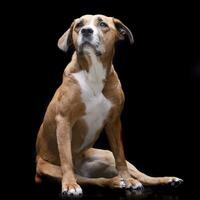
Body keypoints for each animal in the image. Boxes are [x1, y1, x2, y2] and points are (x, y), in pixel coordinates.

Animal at [34, 14, 183, 197]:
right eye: (78, 25)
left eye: (103, 24)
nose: (86, 31)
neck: (94, 73)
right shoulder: (64, 121)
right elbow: (66, 158)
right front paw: (69, 185)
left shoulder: (114, 122)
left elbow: (120, 156)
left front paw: (128, 180)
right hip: (50, 169)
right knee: (93, 180)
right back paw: (113, 182)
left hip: (107, 156)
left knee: (140, 175)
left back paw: (161, 180)